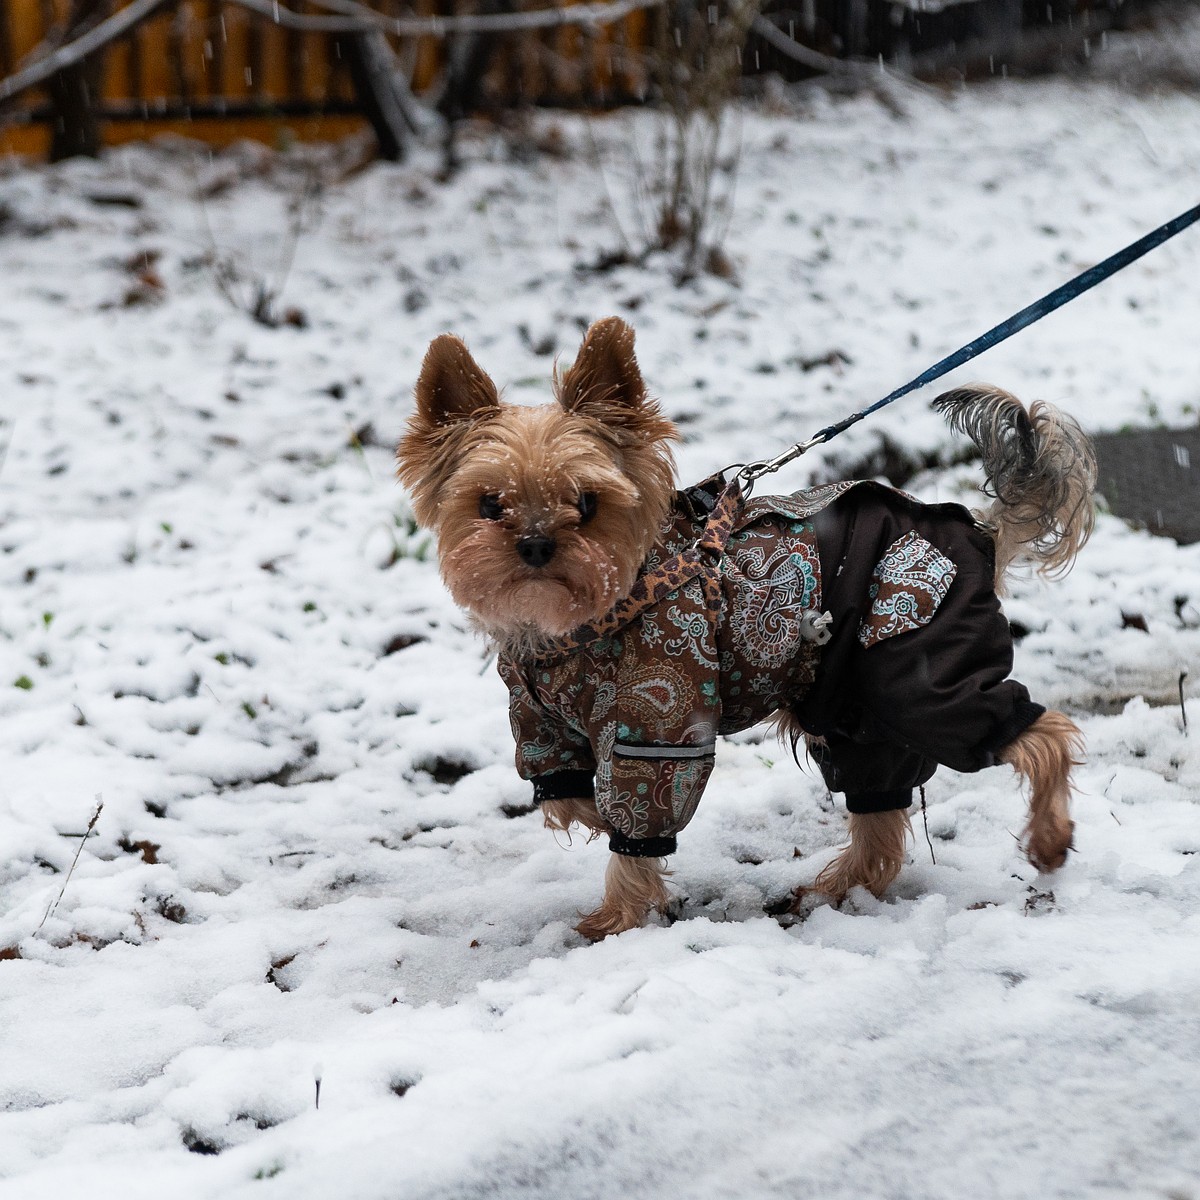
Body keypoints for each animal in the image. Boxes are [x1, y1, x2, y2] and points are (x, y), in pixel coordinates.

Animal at [396, 316, 1099, 936]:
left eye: (587, 503)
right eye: (491, 504)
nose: (537, 544)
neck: (579, 627)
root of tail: (979, 534)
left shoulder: (658, 730)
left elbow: (641, 813)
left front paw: (616, 917)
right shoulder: (541, 725)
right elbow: (566, 797)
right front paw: (600, 821)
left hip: (920, 671)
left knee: (1039, 731)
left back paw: (1049, 838)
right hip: (854, 702)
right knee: (880, 808)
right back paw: (837, 888)